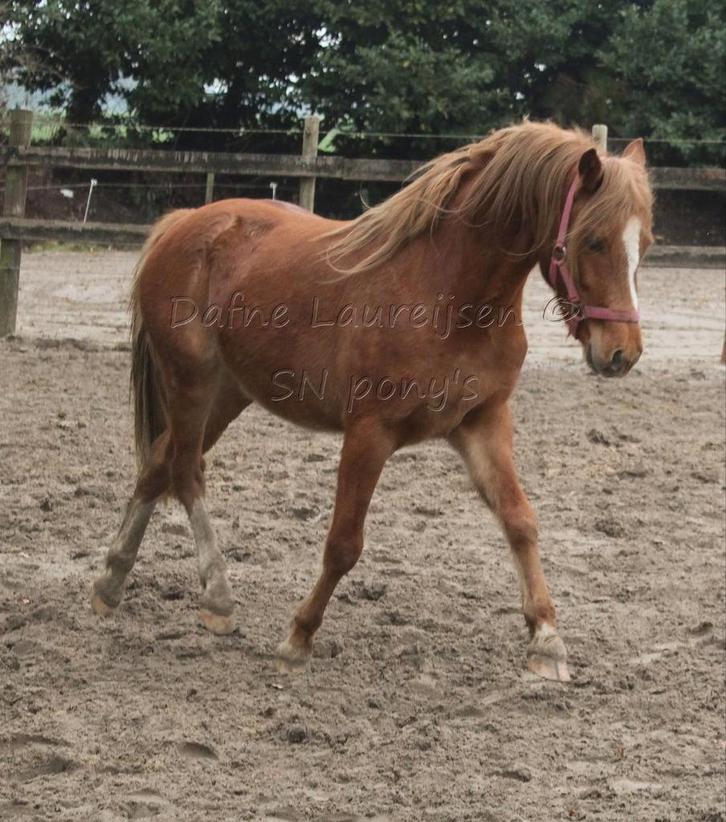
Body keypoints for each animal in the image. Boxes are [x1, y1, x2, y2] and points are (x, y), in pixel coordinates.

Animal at [91, 121, 653, 682]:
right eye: (594, 240)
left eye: (645, 242)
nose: (622, 353)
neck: (449, 296)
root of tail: (184, 224)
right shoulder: (369, 433)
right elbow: (344, 544)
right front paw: (299, 636)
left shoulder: (483, 422)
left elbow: (520, 521)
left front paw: (547, 639)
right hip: (190, 382)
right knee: (186, 471)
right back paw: (217, 597)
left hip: (228, 393)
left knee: (158, 464)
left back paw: (111, 582)